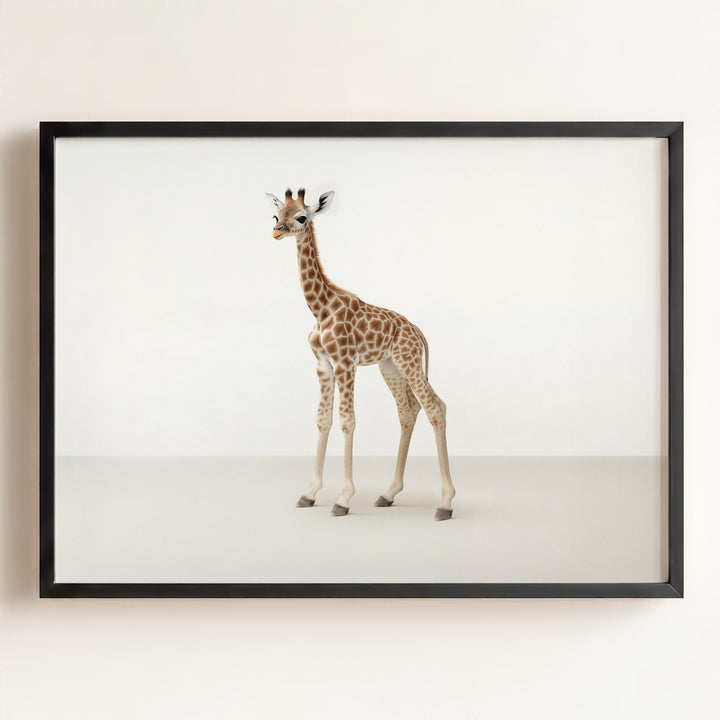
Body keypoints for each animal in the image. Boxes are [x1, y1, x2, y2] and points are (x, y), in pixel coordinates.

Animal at [266, 188, 455, 520]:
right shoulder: (323, 365)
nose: (277, 231)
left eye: (301, 217)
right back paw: (388, 493)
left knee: (435, 406)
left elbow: (347, 420)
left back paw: (445, 504)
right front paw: (309, 493)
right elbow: (323, 419)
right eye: (276, 215)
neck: (321, 309)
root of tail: (418, 332)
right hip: (390, 365)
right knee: (408, 410)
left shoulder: (345, 363)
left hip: (408, 360)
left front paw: (343, 499)